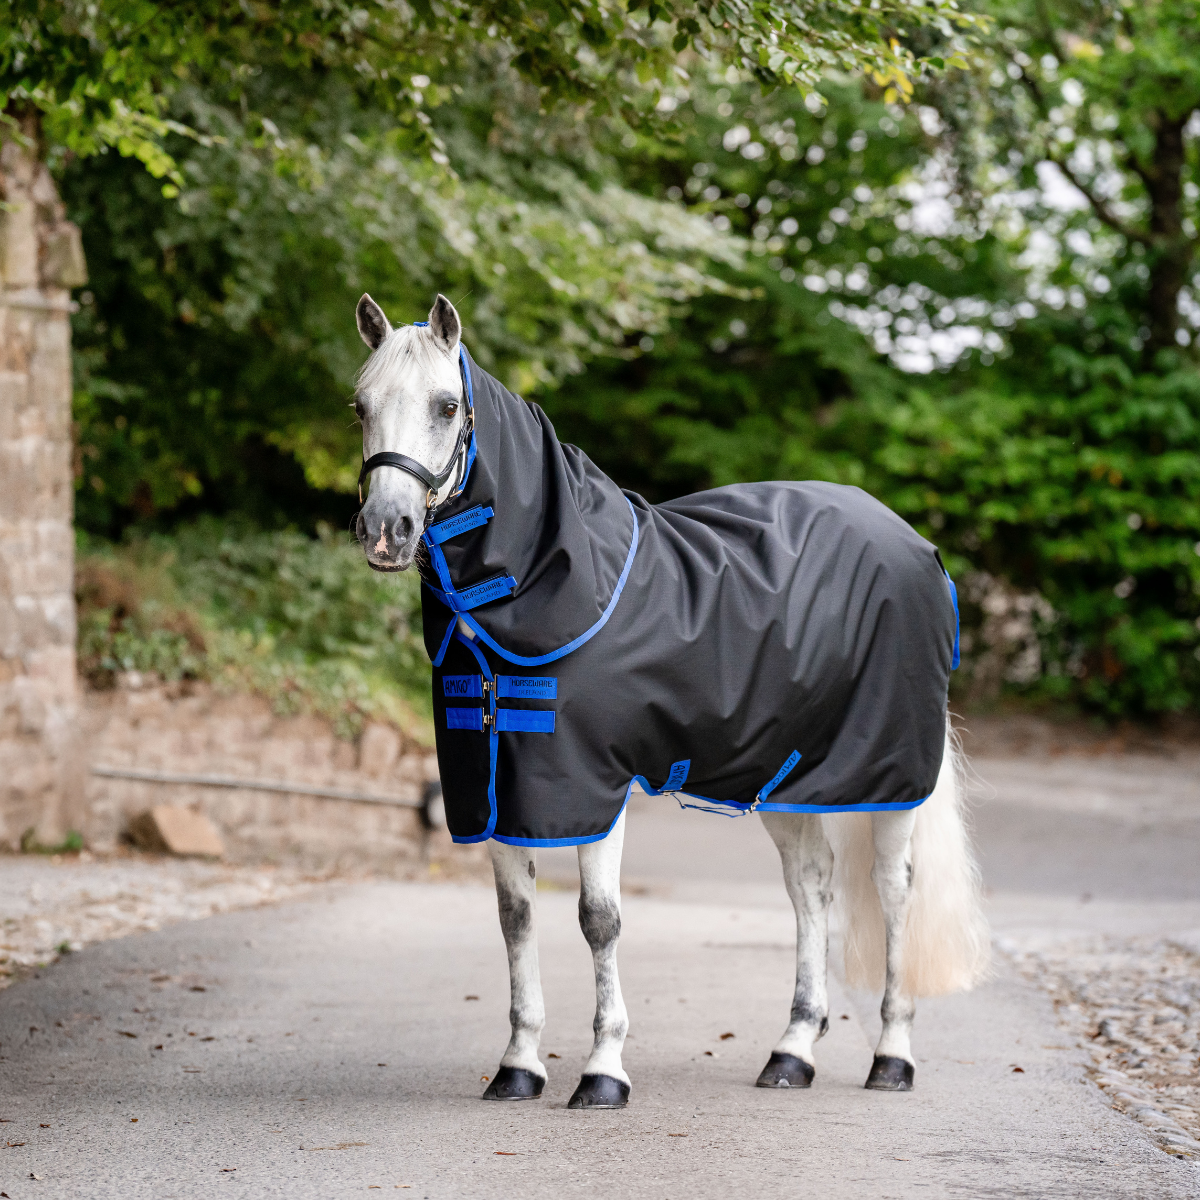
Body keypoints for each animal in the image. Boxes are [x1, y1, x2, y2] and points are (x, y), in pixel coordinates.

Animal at [348, 292, 989, 1109]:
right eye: (360, 405)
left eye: (446, 405)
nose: (385, 531)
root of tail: (918, 547)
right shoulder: (495, 787)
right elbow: (515, 919)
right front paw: (519, 1066)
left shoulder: (593, 785)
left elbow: (599, 920)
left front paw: (603, 1071)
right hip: (784, 775)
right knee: (810, 888)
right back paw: (792, 1052)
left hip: (892, 776)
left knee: (896, 891)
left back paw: (892, 1056)